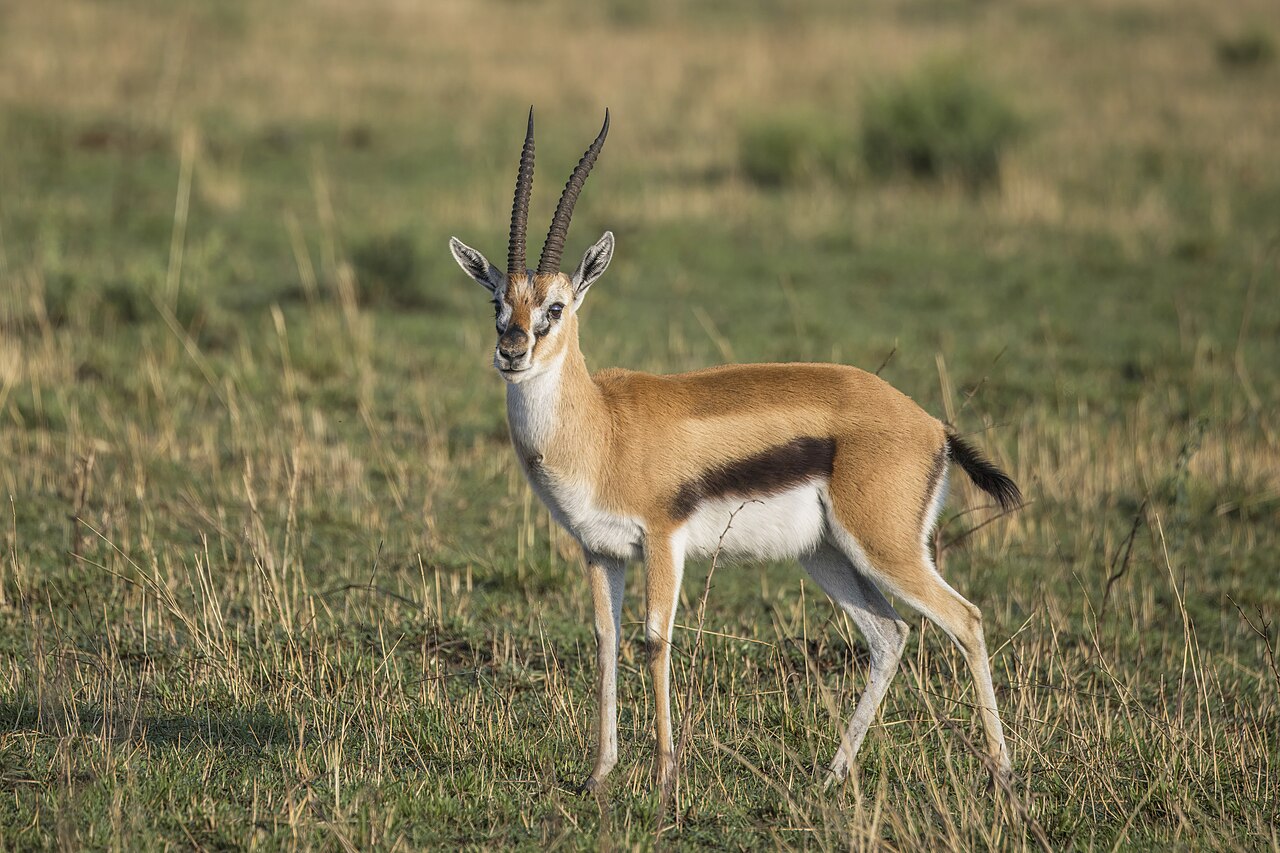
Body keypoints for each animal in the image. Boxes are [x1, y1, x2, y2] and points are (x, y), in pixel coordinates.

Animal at [448, 109, 1022, 793]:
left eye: (554, 308)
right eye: (498, 303)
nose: (511, 353)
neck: (603, 426)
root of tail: (932, 425)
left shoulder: (661, 540)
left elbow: (655, 640)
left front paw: (665, 777)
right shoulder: (599, 550)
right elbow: (605, 642)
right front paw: (598, 776)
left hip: (884, 547)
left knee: (966, 620)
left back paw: (1003, 776)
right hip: (826, 554)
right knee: (890, 635)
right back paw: (832, 776)